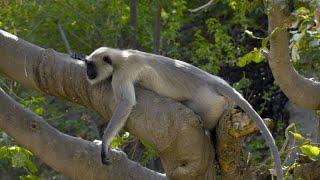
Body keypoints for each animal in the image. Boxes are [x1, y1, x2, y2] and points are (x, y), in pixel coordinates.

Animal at [84, 47, 282, 179]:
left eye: (91, 66)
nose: (88, 73)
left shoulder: (122, 73)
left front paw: (104, 145)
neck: (119, 57)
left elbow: (126, 104)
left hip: (210, 103)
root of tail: (211, 80)